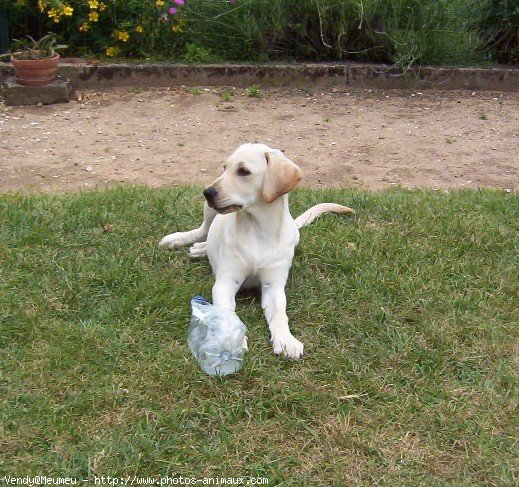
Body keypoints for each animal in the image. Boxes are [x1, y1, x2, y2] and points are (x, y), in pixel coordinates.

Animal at [159, 143, 354, 360]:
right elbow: (227, 313)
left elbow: (280, 314)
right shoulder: (226, 283)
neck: (257, 228)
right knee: (202, 231)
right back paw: (180, 241)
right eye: (224, 168)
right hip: (210, 211)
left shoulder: (273, 286)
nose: (207, 192)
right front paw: (232, 339)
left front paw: (286, 339)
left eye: (243, 171)